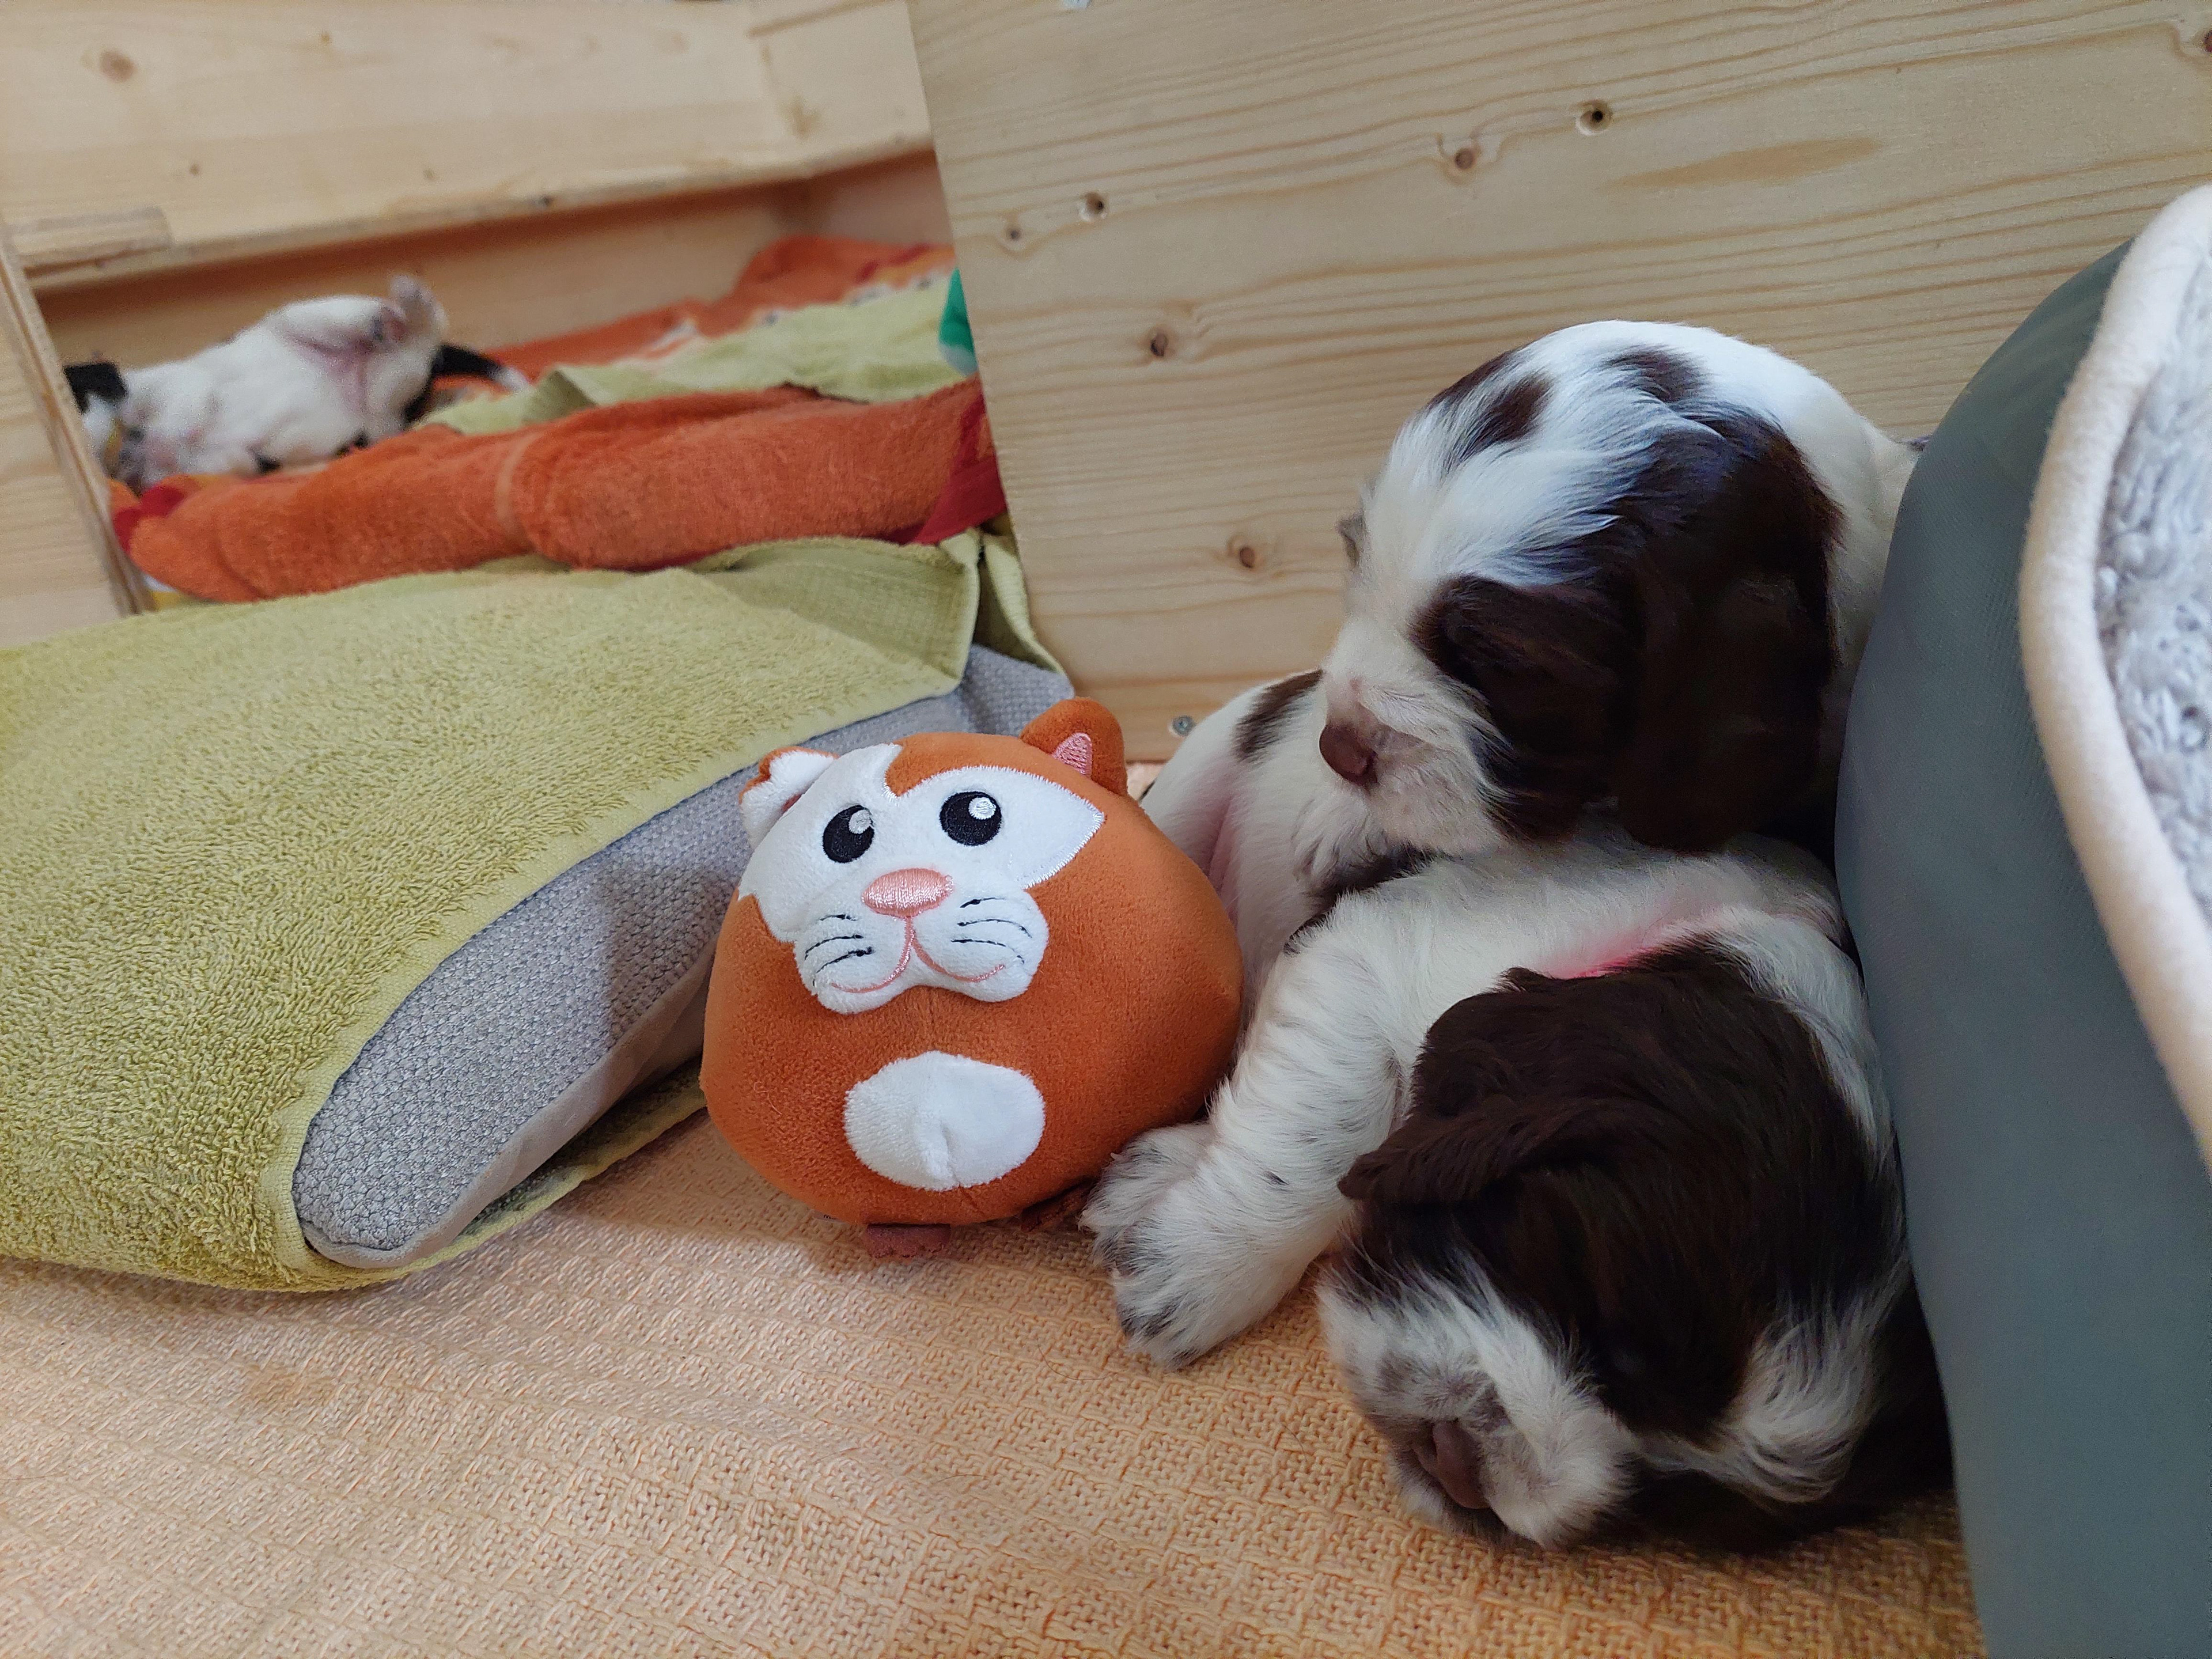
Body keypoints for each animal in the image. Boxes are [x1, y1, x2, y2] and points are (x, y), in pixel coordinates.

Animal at [70, 275, 524, 491]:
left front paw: (159, 439)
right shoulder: (218, 463)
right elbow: (209, 461)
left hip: (315, 316)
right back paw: (444, 394)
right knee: (400, 389)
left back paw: (409, 309)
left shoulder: (176, 382)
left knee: (405, 331)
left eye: (76, 399)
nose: (124, 460)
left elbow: (180, 410)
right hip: (382, 412)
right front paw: (147, 457)